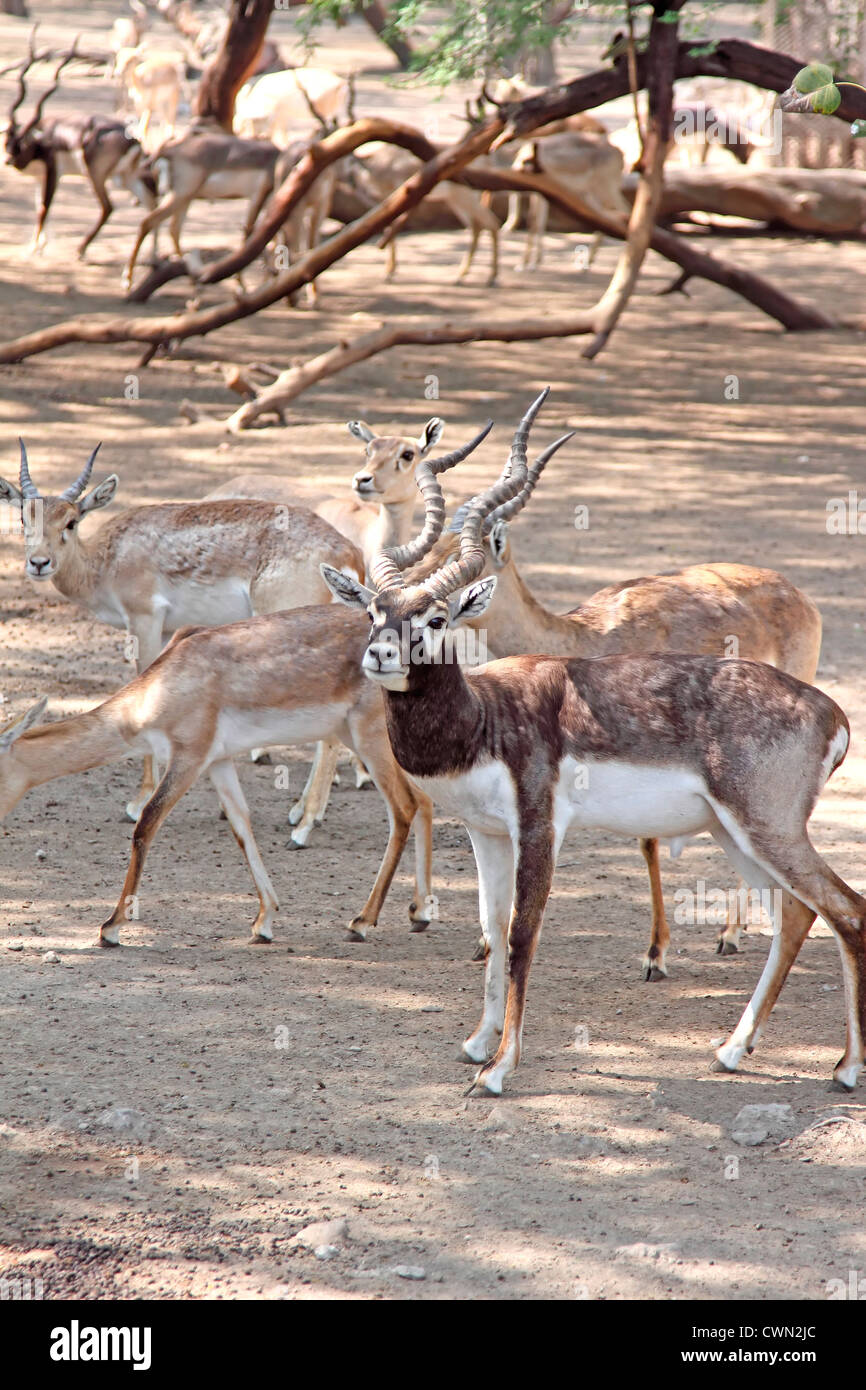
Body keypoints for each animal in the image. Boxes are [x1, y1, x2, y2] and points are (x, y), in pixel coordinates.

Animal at [0, 440, 366, 839]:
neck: (106, 558)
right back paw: (301, 812)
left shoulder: (144, 619)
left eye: (71, 521)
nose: (39, 563)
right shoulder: (165, 629)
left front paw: (139, 802)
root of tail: (345, 552)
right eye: (25, 519)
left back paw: (305, 826)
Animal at [0, 609, 435, 950]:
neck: (158, 689)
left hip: (370, 738)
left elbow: (145, 825)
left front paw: (111, 928)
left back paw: (361, 922)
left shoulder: (188, 758)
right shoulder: (219, 762)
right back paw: (420, 913)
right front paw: (264, 922)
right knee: (425, 801)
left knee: (404, 807)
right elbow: (242, 828)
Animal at [4, 42, 156, 258]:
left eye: (22, 142)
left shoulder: (53, 172)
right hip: (126, 177)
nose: (8, 160)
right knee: (152, 205)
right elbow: (37, 206)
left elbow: (44, 208)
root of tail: (132, 140)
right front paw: (40, 244)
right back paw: (152, 256)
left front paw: (34, 249)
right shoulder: (40, 178)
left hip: (96, 176)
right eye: (7, 141)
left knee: (108, 207)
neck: (45, 138)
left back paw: (81, 249)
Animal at [322, 390, 866, 1099]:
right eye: (372, 611)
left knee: (846, 909)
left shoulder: (539, 826)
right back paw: (731, 1051)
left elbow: (522, 934)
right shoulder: (486, 833)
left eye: (436, 618)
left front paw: (500, 1070)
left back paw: (846, 1068)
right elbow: (492, 929)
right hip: (732, 832)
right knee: (799, 913)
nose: (380, 656)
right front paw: (477, 1044)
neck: (486, 714)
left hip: (767, 827)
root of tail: (830, 712)